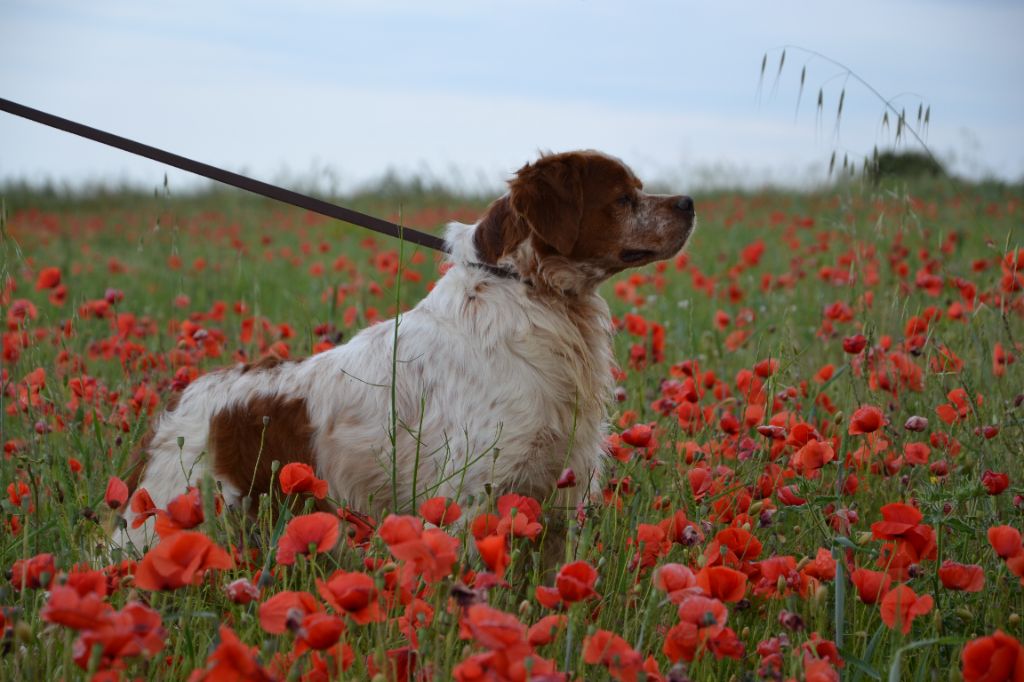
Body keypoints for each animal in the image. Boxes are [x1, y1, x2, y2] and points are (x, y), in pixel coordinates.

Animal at [117, 151, 696, 548]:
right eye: (622, 197)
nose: (690, 202)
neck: (532, 293)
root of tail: (182, 401)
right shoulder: (472, 492)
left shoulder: (555, 491)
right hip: (160, 522)